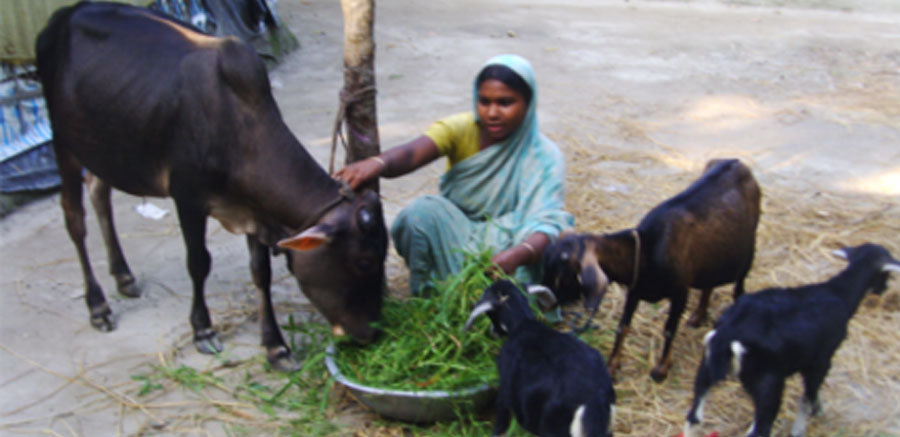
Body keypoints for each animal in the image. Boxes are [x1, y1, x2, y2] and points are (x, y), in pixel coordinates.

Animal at [34, 1, 386, 370]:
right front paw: (202, 330)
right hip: (63, 144)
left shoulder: (253, 211)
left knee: (99, 193)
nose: (371, 333)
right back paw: (98, 306)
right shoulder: (187, 199)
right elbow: (198, 263)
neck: (236, 127)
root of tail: (64, 15)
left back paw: (124, 277)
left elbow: (261, 273)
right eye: (364, 261)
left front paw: (275, 347)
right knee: (75, 220)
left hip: (105, 148)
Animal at [464, 280, 620, 436]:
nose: (493, 332)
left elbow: (502, 414)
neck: (523, 324)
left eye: (490, 313)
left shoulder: (505, 382)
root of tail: (593, 401)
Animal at [540, 158, 760, 380]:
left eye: (563, 276)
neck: (646, 250)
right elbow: (622, 327)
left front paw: (661, 369)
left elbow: (669, 329)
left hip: (747, 251)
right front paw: (612, 365)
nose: (542, 304)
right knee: (709, 282)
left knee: (739, 287)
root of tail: (737, 162)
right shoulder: (635, 290)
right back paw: (698, 316)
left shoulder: (680, 291)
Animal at [684, 242, 900, 436]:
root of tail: (728, 335)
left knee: (693, 417)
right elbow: (808, 395)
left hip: (706, 368)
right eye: (887, 273)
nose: (885, 289)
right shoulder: (822, 359)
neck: (838, 293)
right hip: (767, 383)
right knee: (760, 429)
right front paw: (805, 423)